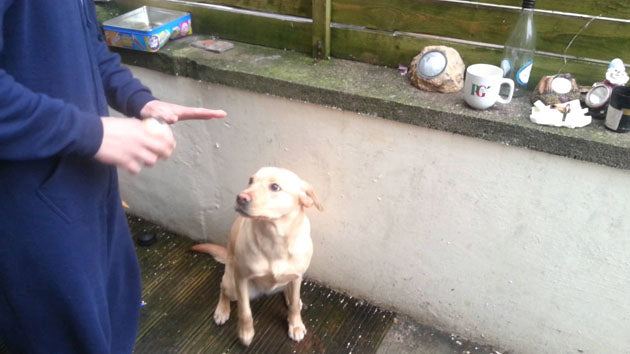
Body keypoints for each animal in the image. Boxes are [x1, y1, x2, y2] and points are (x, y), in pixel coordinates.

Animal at [191, 168, 320, 346]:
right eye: (250, 181)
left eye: (275, 187)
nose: (240, 197)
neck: (275, 239)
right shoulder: (241, 279)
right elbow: (244, 311)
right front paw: (246, 333)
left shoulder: (297, 276)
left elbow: (294, 306)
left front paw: (295, 325)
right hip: (231, 284)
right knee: (223, 289)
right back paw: (222, 310)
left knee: (291, 293)